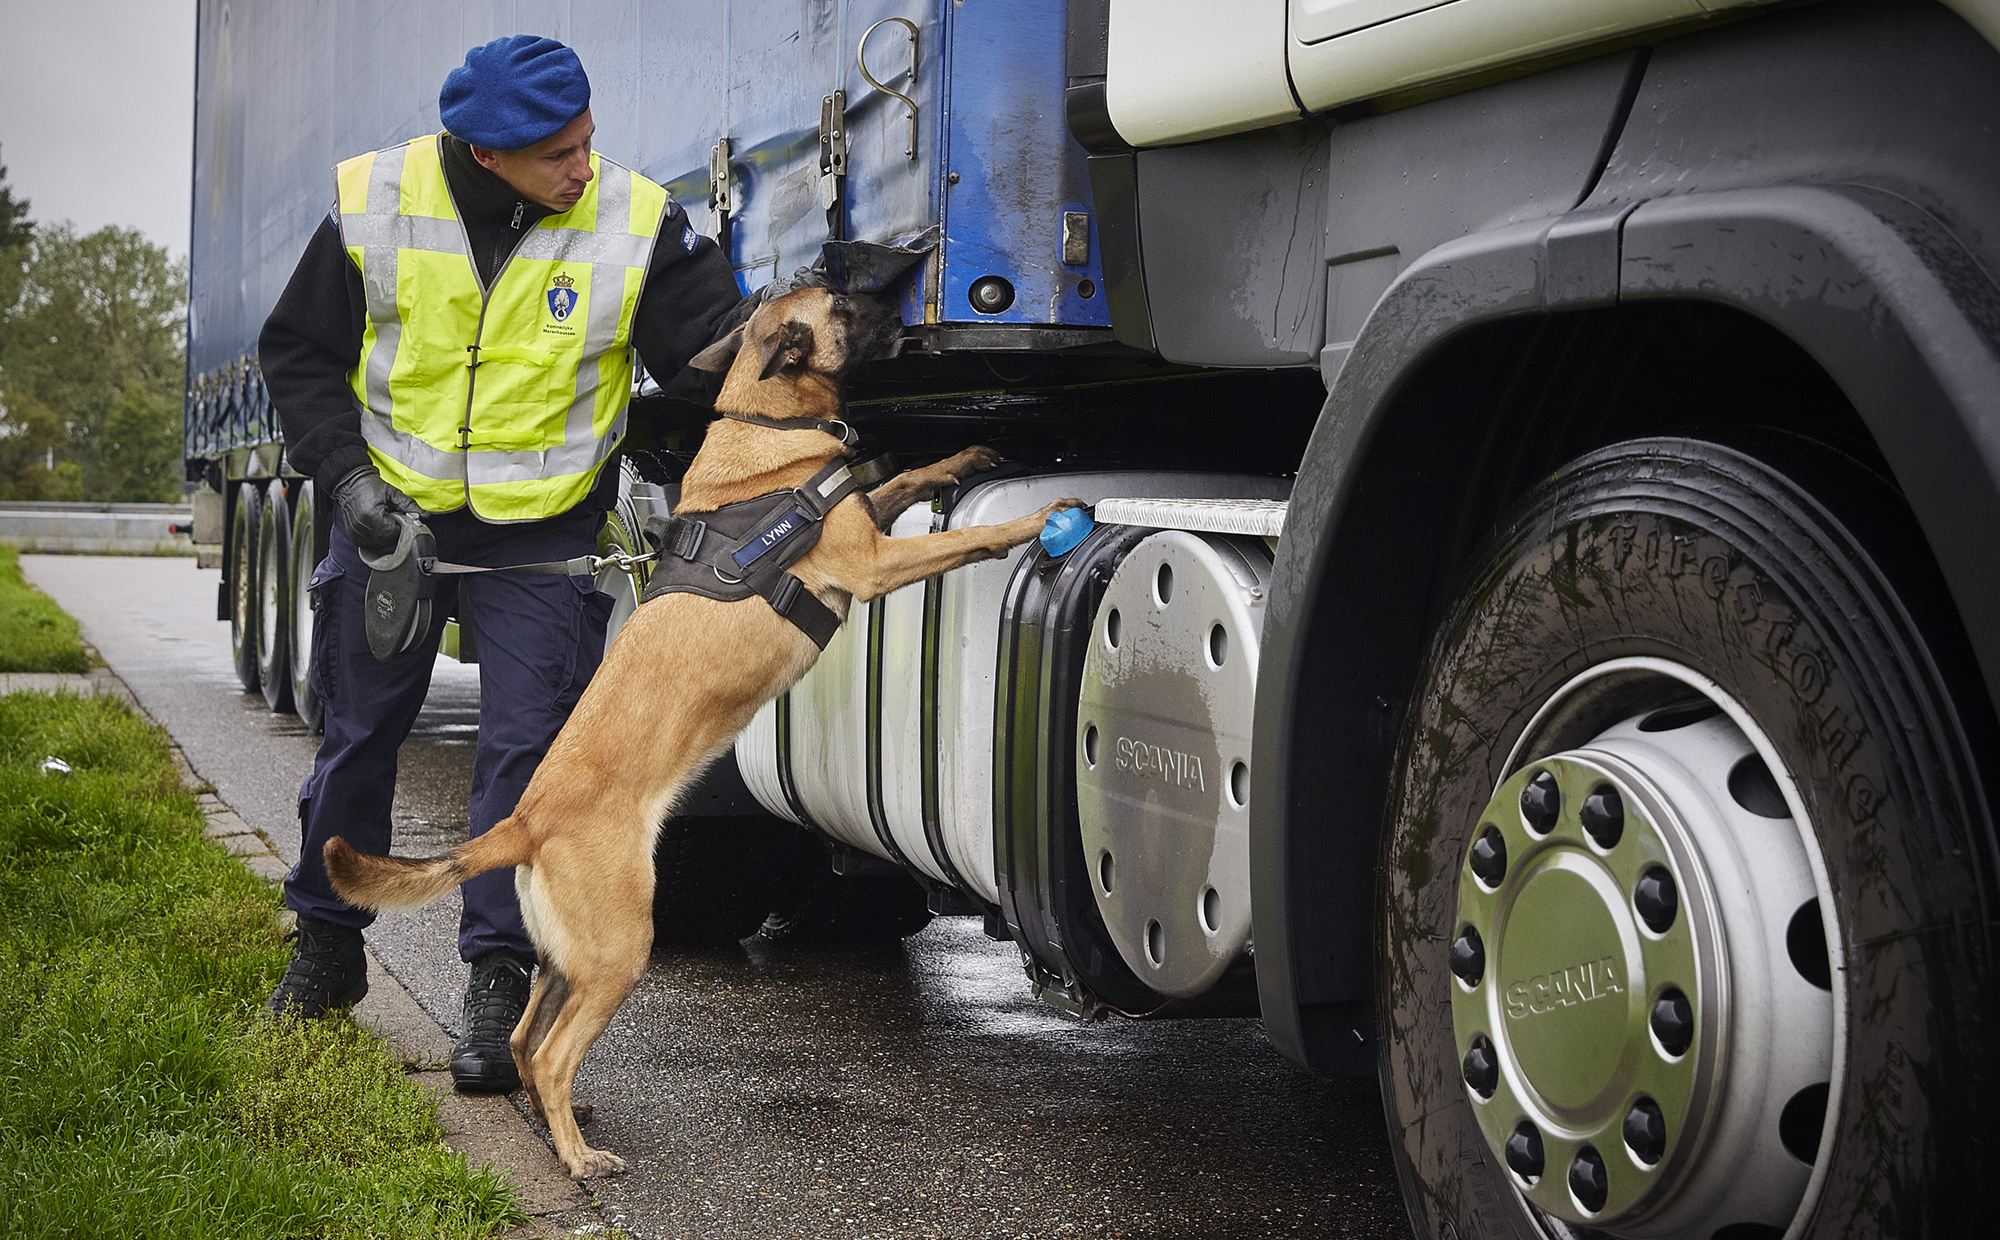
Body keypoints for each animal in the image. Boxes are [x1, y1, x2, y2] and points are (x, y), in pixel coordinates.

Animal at [328, 286, 1088, 1176]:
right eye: (841, 298)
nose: (901, 292)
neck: (765, 422)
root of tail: (523, 820)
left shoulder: (864, 519)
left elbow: (901, 476)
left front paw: (961, 458)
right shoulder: (870, 565)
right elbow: (966, 537)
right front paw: (1037, 519)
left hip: (568, 956)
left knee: (524, 1038)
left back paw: (565, 1121)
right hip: (622, 945)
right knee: (548, 1050)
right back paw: (581, 1155)